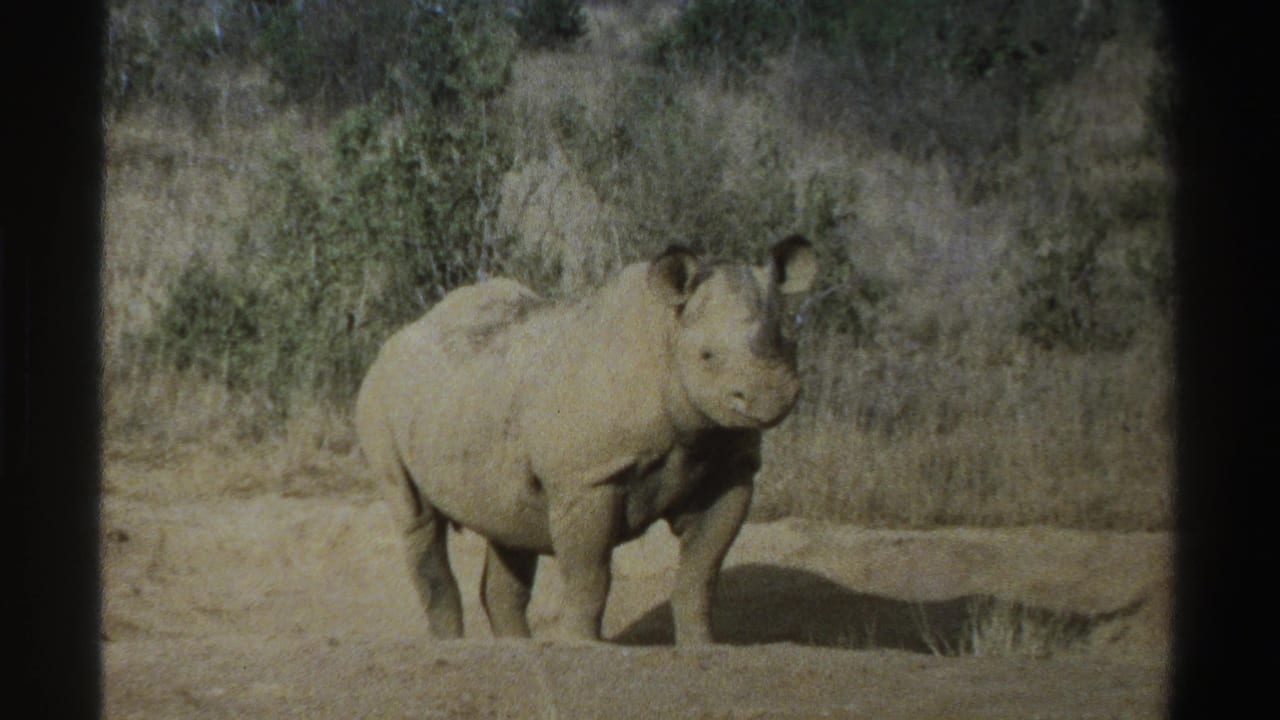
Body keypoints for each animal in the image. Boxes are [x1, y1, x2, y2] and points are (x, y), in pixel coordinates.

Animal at [355, 236, 816, 643]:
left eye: (791, 344)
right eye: (706, 356)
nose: (771, 395)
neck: (667, 338)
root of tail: (396, 339)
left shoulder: (729, 469)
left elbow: (700, 574)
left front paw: (702, 648)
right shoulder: (588, 478)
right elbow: (590, 576)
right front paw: (583, 647)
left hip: (465, 399)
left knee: (507, 525)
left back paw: (517, 650)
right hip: (380, 397)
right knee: (418, 519)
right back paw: (453, 646)